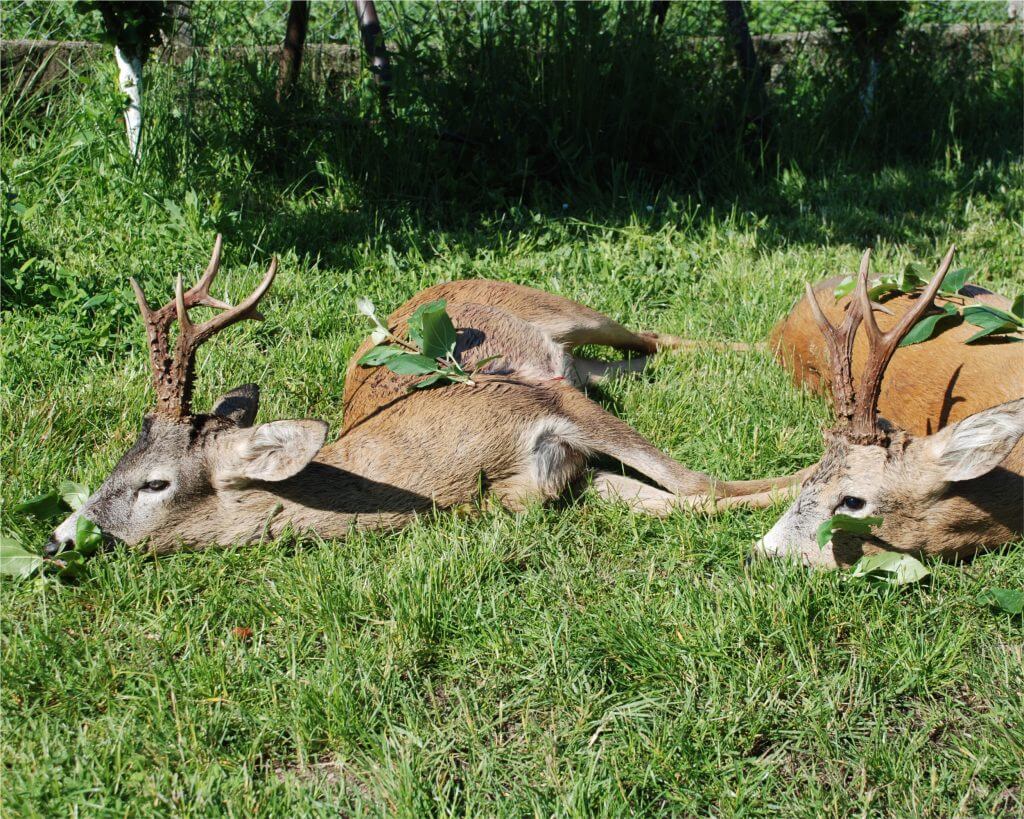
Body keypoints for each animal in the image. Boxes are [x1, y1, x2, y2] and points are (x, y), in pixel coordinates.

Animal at [46, 236, 809, 556]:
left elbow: (701, 480)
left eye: (154, 482)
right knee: (634, 360)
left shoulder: (535, 401)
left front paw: (817, 483)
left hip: (563, 312)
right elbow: (684, 500)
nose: (58, 540)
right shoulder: (559, 478)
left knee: (648, 333)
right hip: (579, 365)